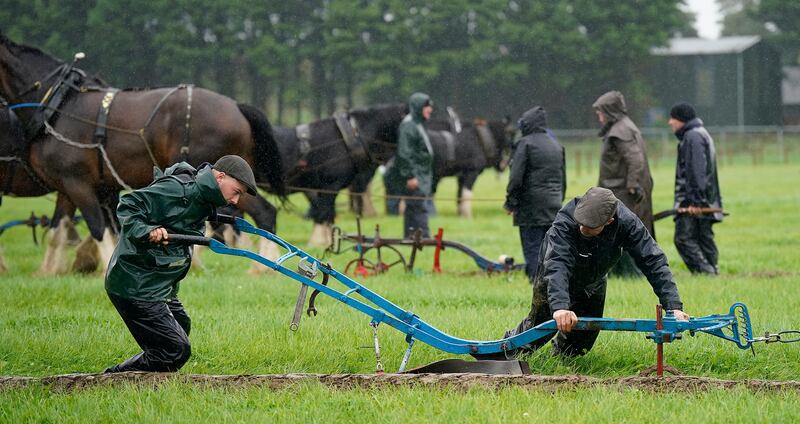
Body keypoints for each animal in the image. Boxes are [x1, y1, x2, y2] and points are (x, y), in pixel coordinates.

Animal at [0, 35, 288, 274]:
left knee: (264, 213)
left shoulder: (78, 183)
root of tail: (237, 106)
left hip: (233, 185)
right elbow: (61, 232)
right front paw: (48, 271)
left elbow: (98, 228)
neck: (59, 103)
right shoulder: (71, 187)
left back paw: (261, 268)